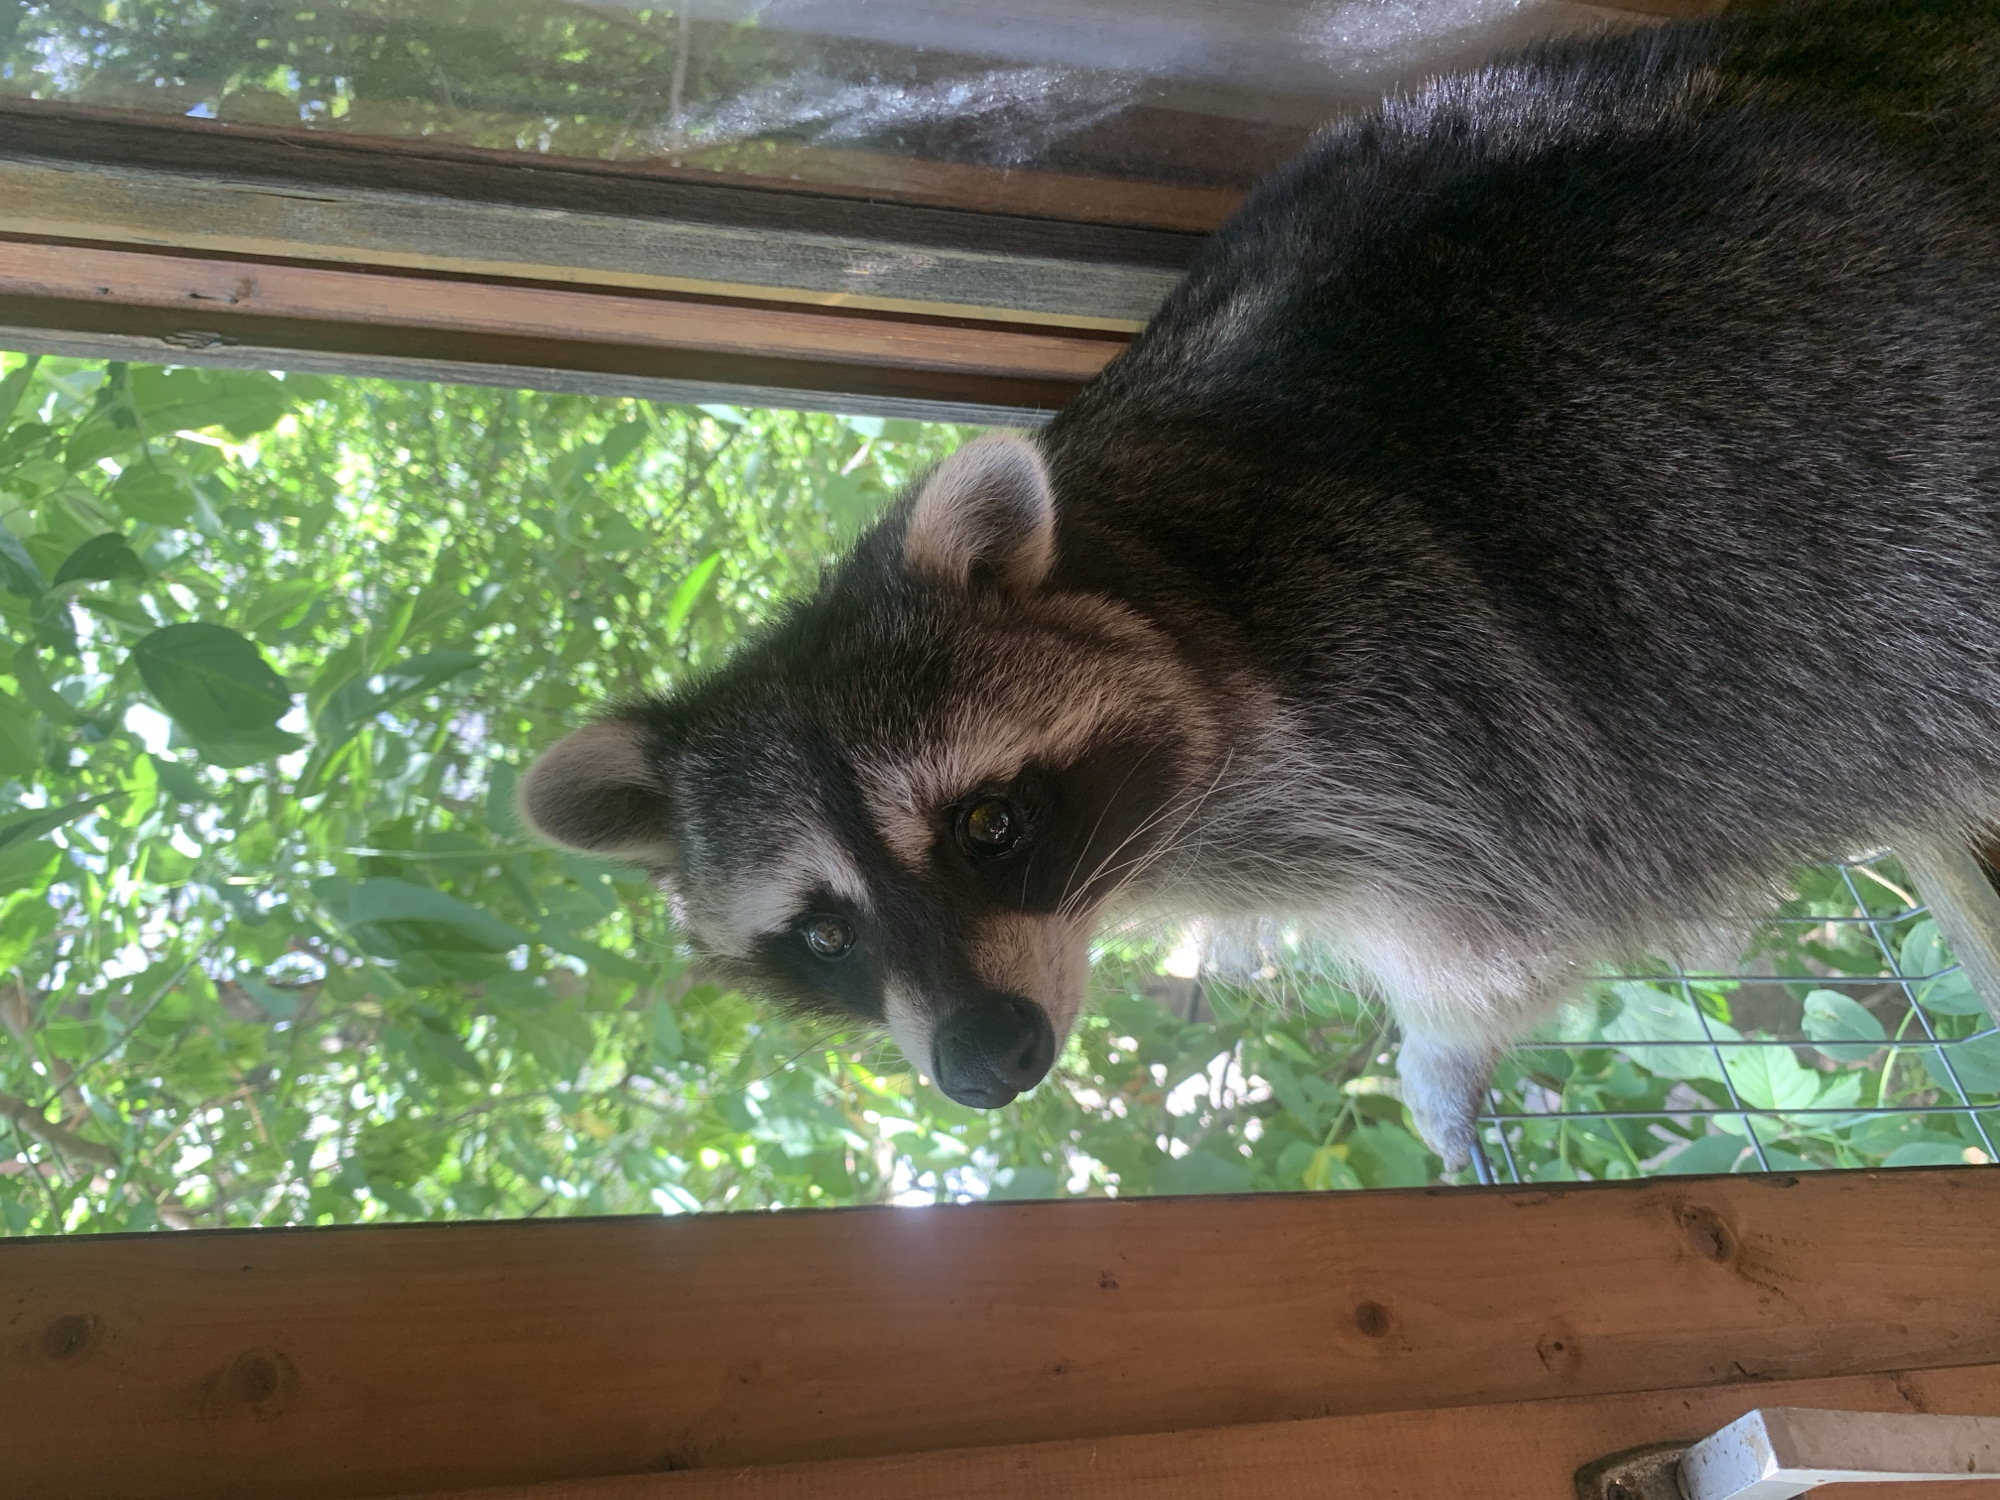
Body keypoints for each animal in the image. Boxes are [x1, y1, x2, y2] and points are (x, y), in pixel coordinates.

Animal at [523, 0, 2000, 1171]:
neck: (1136, 560)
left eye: (989, 824)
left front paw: (1438, 1057)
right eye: (824, 933)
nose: (989, 1058)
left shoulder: (1425, 728)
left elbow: (1495, 951)